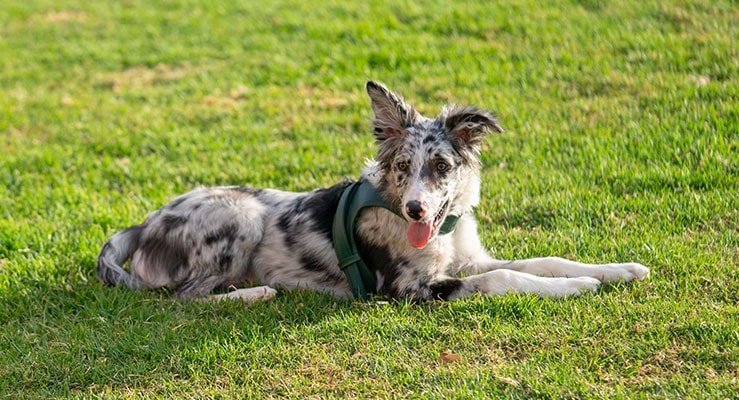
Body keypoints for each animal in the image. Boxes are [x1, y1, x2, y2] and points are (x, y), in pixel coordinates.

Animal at [97, 79, 648, 302]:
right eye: (403, 165)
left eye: (442, 166)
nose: (416, 209)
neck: (440, 230)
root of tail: (145, 223)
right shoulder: (407, 288)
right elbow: (507, 278)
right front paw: (576, 288)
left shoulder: (466, 260)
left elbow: (543, 261)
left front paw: (617, 270)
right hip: (242, 215)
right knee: (183, 297)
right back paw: (255, 292)